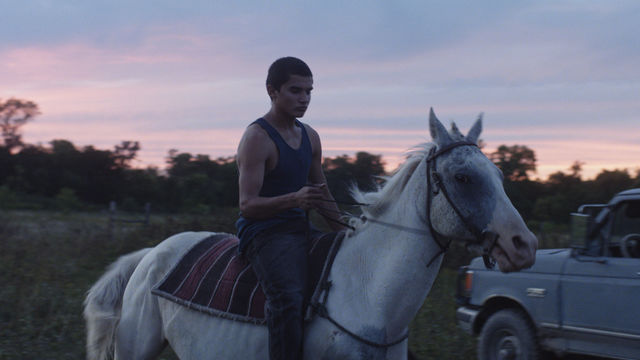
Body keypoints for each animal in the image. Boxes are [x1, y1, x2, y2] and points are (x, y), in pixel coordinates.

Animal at [84, 110, 536, 360]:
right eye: (463, 178)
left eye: (499, 175)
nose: (524, 245)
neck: (369, 297)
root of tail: (150, 256)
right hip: (134, 350)